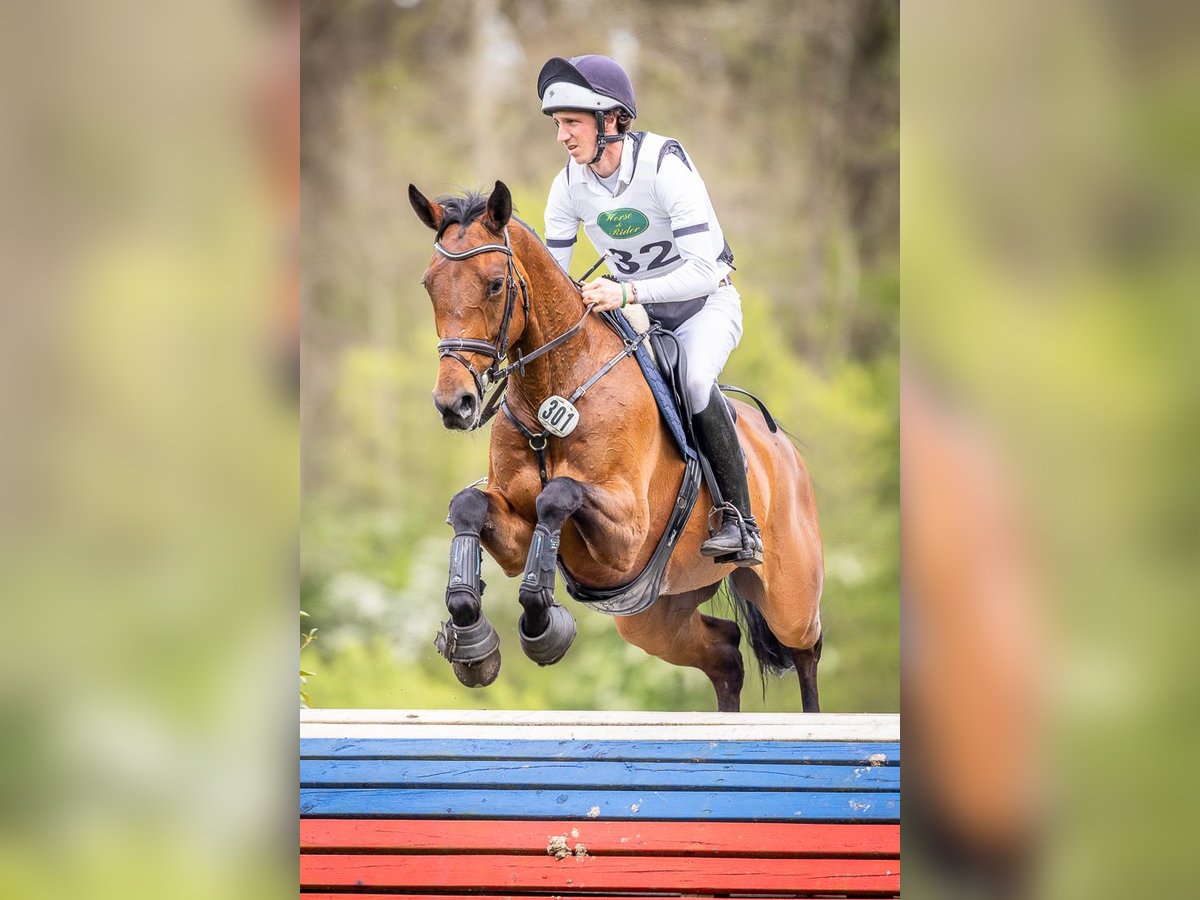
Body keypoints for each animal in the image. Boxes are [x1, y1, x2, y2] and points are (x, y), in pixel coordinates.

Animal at [408, 180, 820, 710]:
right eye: (429, 284)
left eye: (496, 284)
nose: (454, 404)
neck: (556, 389)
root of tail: (784, 450)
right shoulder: (517, 530)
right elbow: (468, 506)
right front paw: (473, 641)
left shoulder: (627, 531)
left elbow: (558, 494)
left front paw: (542, 625)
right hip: (654, 615)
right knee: (725, 653)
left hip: (790, 598)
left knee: (806, 652)